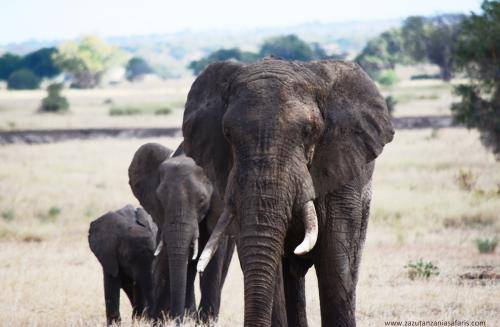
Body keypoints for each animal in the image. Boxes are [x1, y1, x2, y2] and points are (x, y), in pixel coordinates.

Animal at [130, 143, 235, 322]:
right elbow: (167, 258)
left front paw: (206, 321)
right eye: (160, 199)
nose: (177, 320)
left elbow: (213, 259)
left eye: (202, 200)